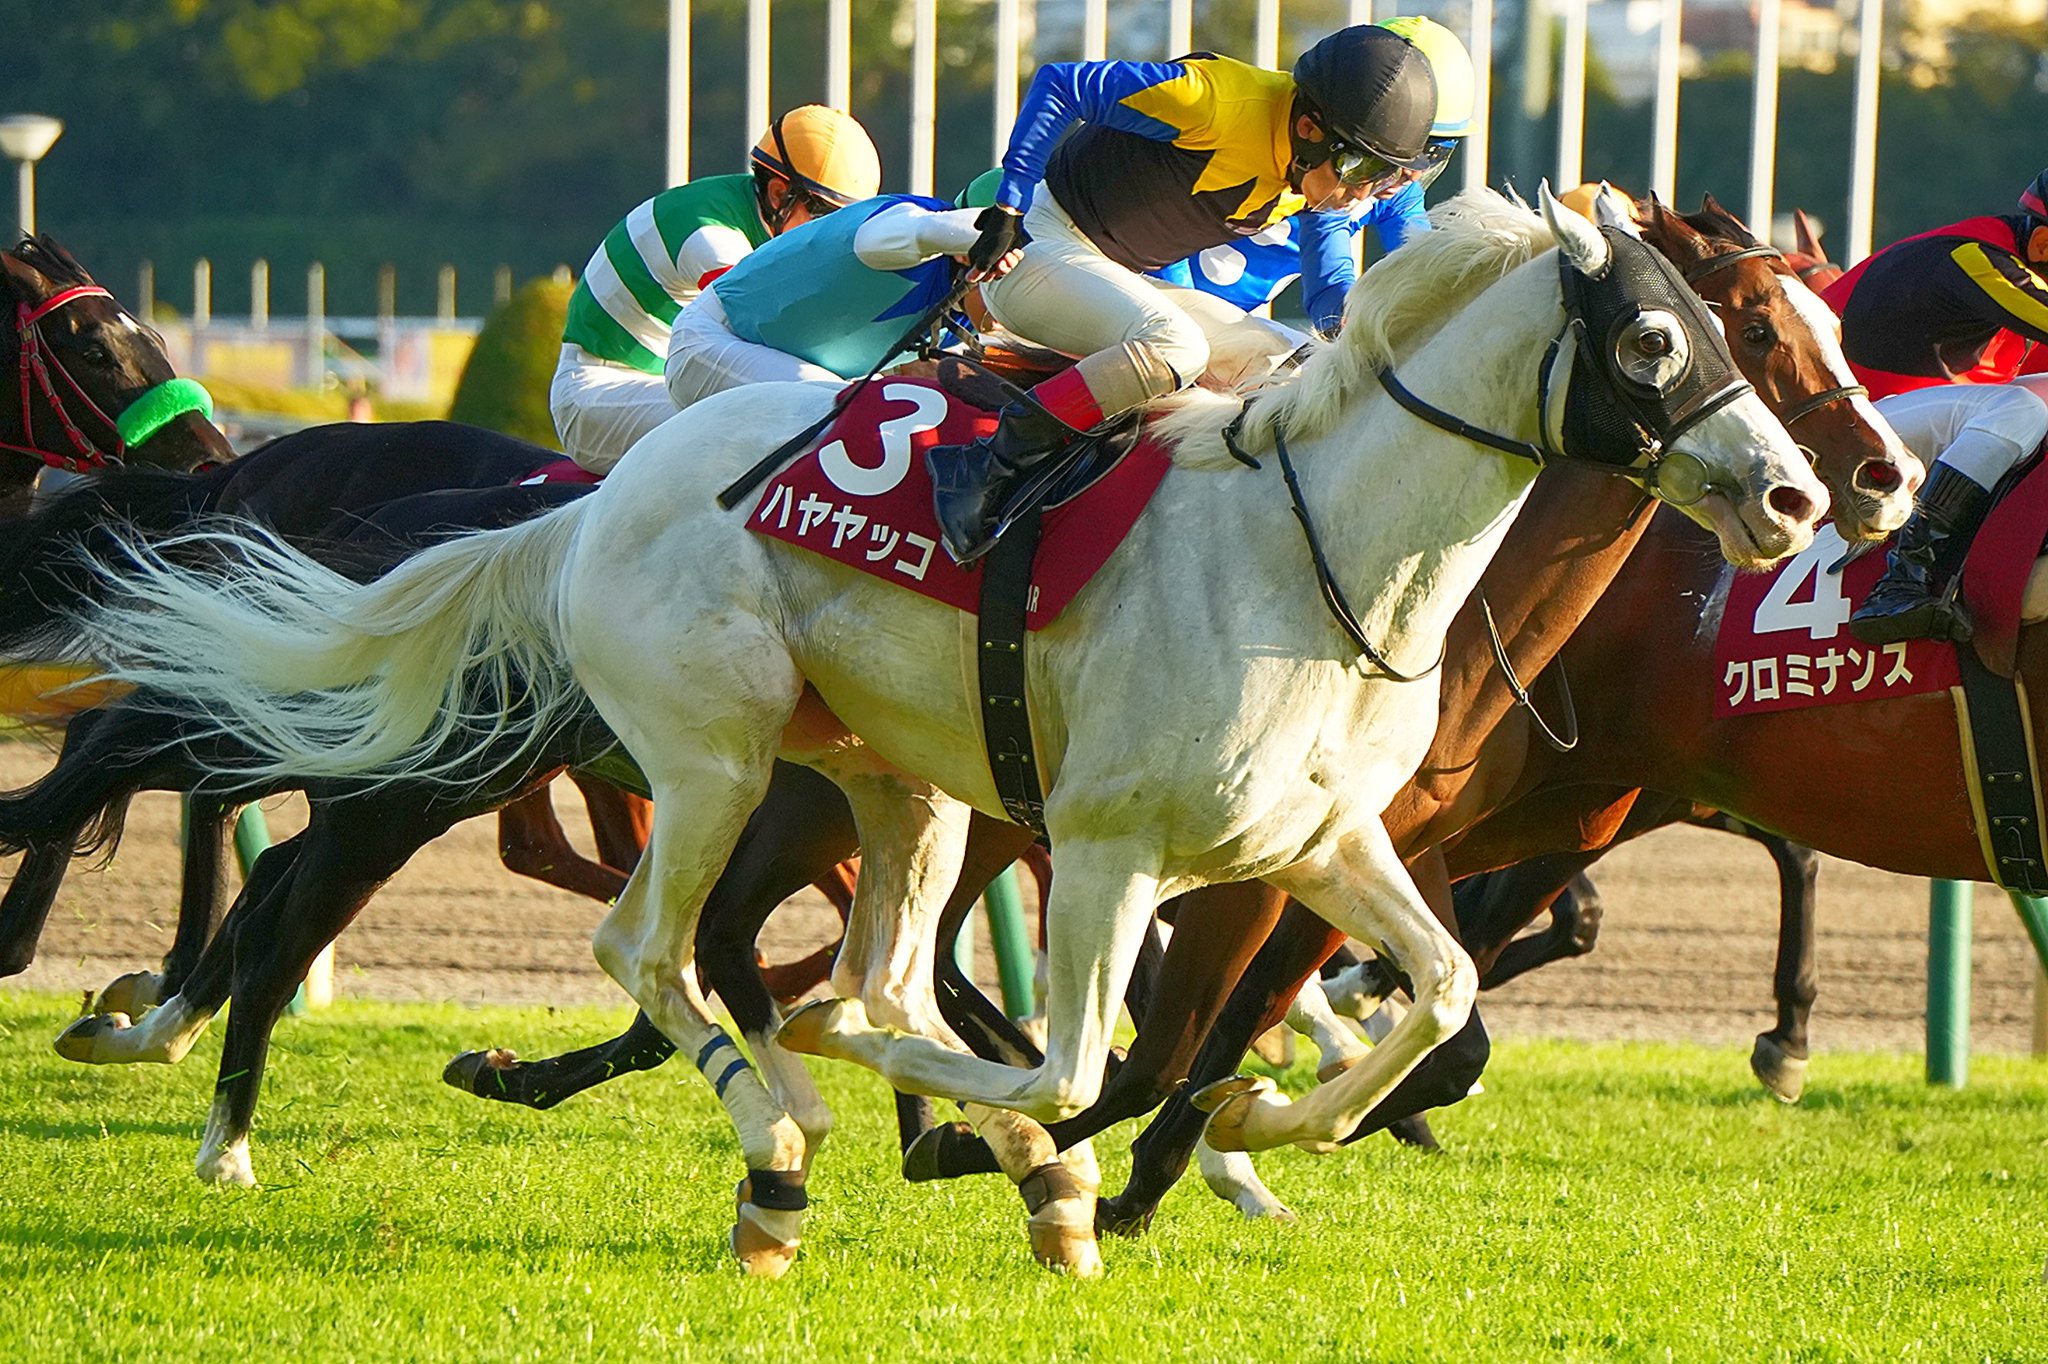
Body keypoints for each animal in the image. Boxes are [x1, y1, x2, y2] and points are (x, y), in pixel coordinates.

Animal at [59, 186, 1826, 1269]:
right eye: (1661, 339)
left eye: (1736, 332)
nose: (1805, 496)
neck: (1311, 556)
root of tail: (591, 505)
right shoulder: (1111, 848)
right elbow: (1071, 1062)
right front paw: (1022, 1142)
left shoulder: (1320, 842)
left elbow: (1435, 989)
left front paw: (1253, 1120)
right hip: (714, 759)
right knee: (650, 950)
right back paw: (775, 1154)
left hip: (903, 789)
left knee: (865, 970)